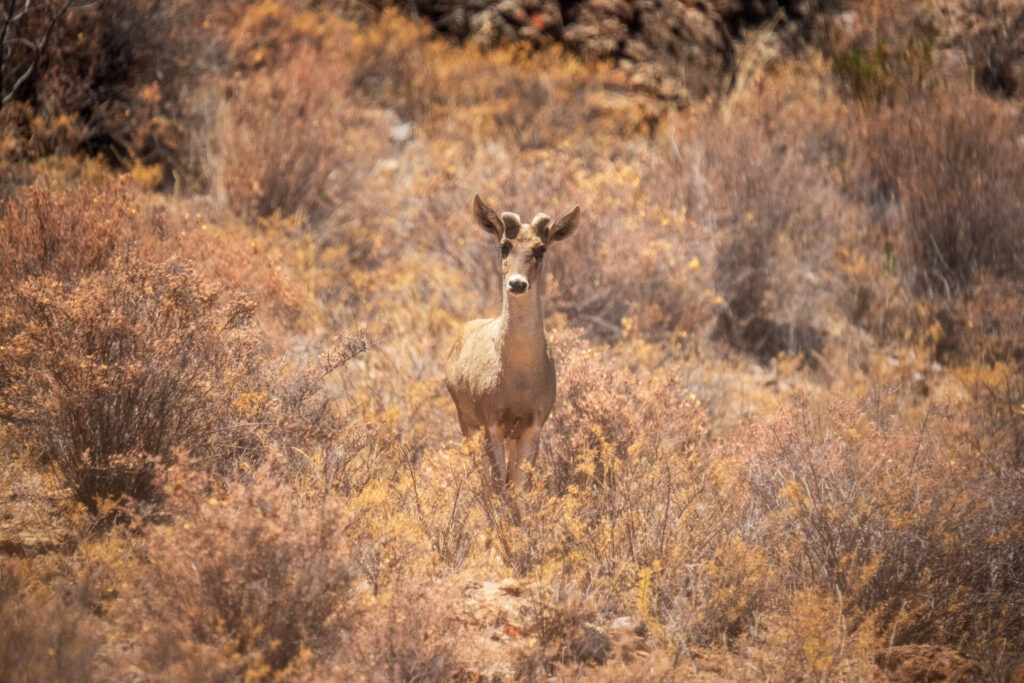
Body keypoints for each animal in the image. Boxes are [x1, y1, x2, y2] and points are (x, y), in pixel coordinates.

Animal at [444, 194, 581, 499]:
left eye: (540, 249)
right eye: (504, 245)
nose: (517, 283)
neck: (518, 380)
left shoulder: (534, 423)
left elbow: (518, 489)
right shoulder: (490, 421)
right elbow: (497, 487)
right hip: (465, 421)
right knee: (480, 480)